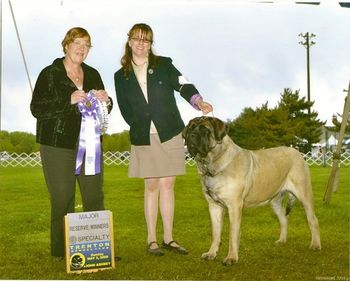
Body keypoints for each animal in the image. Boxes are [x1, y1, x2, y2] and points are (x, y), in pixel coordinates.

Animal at [182, 116, 322, 264]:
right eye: (190, 128)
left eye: (205, 130)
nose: (191, 136)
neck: (213, 162)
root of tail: (298, 153)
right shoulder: (214, 206)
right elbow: (215, 232)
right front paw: (211, 253)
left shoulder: (234, 206)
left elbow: (233, 233)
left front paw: (231, 257)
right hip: (275, 201)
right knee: (284, 219)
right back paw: (282, 240)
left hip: (304, 195)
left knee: (313, 220)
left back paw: (315, 245)